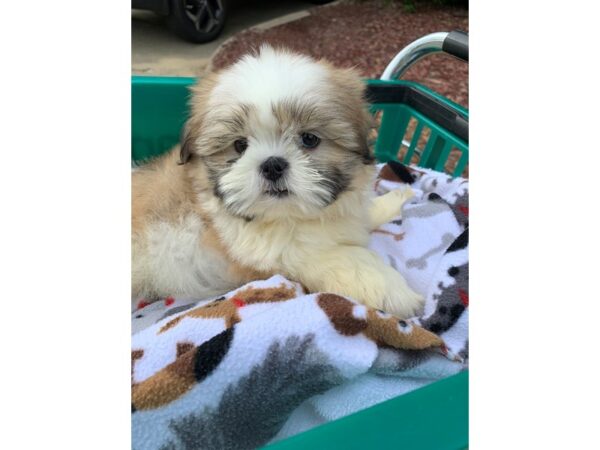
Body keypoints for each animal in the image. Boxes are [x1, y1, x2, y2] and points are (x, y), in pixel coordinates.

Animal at [132, 46, 422, 316]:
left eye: (309, 139)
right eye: (239, 145)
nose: (272, 165)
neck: (288, 217)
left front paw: (399, 198)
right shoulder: (264, 253)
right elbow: (344, 257)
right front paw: (393, 290)